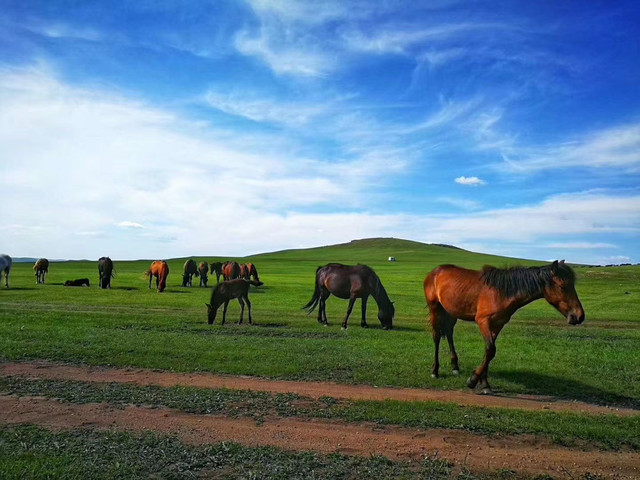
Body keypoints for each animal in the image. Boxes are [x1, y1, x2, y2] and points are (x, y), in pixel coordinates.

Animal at [424, 262, 584, 394]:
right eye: (562, 286)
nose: (579, 316)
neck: (502, 292)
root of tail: (435, 271)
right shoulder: (483, 321)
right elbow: (490, 349)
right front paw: (472, 380)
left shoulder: (497, 325)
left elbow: (489, 352)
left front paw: (484, 384)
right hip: (435, 308)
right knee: (436, 337)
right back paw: (435, 371)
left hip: (451, 312)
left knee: (449, 334)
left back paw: (455, 367)